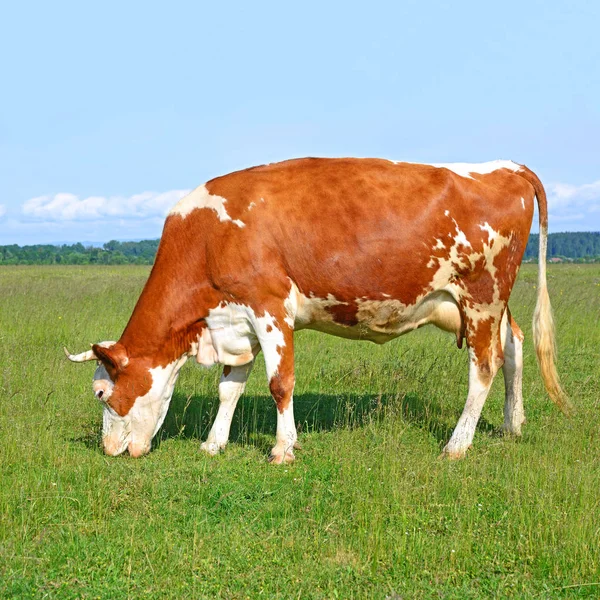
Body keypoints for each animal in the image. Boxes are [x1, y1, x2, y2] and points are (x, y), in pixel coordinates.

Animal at [63, 157, 568, 462]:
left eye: (102, 393)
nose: (108, 449)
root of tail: (505, 166)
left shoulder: (269, 307)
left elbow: (279, 383)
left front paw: (283, 449)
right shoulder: (235, 320)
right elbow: (230, 389)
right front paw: (213, 443)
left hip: (482, 295)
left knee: (484, 366)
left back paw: (457, 444)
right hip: (486, 303)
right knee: (514, 345)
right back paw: (512, 425)